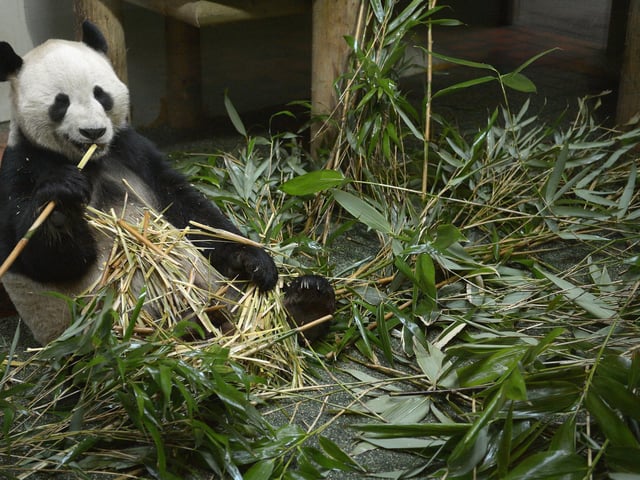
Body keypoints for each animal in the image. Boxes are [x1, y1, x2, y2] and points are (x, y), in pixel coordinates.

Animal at [0, 22, 333, 345]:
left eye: (101, 95)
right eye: (61, 103)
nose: (93, 131)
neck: (90, 159)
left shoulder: (132, 151)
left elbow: (190, 213)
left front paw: (255, 260)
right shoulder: (21, 166)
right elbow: (42, 259)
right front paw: (60, 205)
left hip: (222, 289)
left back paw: (308, 304)